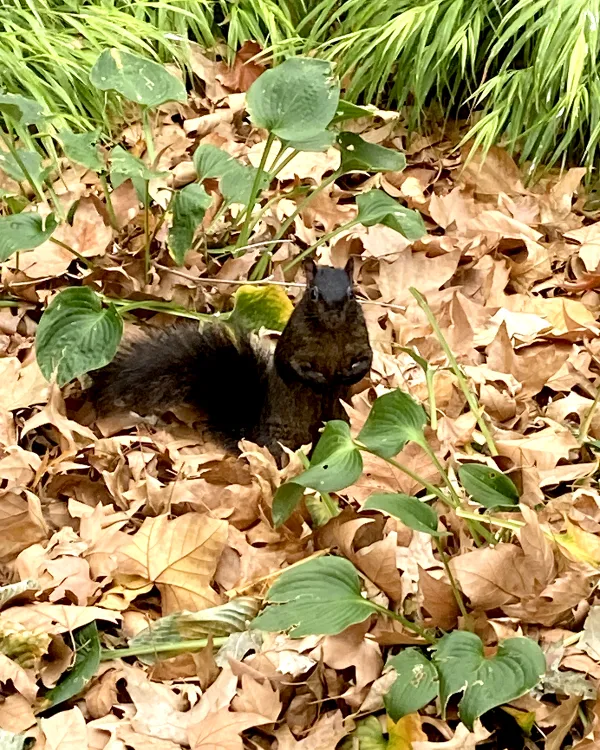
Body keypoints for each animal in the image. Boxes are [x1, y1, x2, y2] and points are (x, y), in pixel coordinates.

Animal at [90, 258, 373, 459]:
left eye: (351, 294)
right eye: (314, 293)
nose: (334, 315)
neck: (331, 332)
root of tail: (254, 434)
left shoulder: (360, 340)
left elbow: (367, 359)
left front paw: (348, 375)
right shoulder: (293, 343)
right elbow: (290, 365)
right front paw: (318, 380)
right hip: (285, 437)